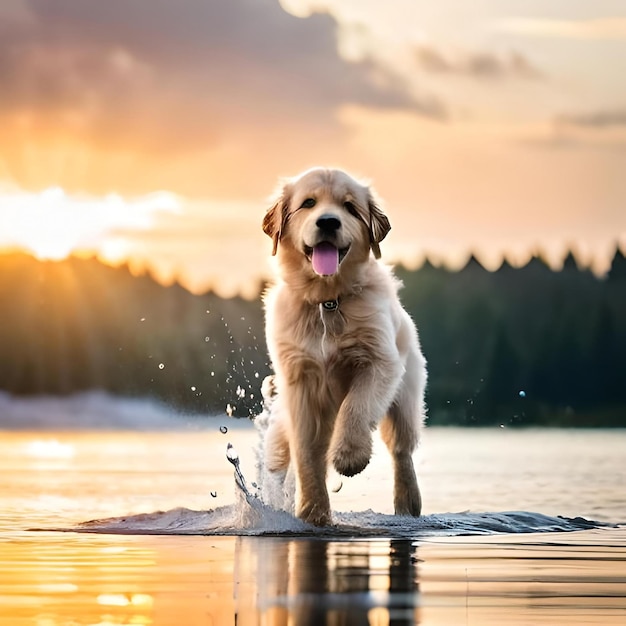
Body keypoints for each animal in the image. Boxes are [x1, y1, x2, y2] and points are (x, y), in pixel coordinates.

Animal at [260, 167, 426, 528]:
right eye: (308, 203)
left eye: (350, 208)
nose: (328, 222)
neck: (327, 301)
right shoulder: (299, 382)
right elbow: (307, 453)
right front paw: (312, 513)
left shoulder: (380, 362)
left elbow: (356, 406)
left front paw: (350, 456)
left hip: (406, 395)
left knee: (401, 450)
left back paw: (408, 505)